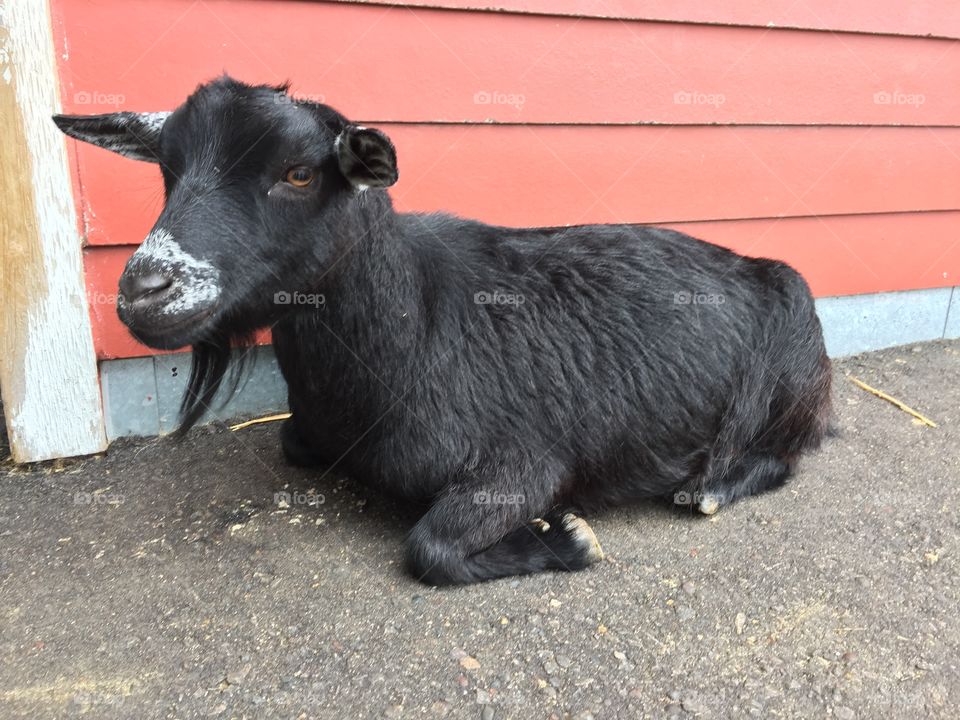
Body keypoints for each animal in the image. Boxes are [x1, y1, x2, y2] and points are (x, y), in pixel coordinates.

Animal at [54, 77, 832, 584]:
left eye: (299, 173)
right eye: (168, 170)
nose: (144, 291)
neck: (415, 324)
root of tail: (753, 263)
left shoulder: (525, 463)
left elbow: (428, 548)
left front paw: (568, 537)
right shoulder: (310, 430)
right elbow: (292, 443)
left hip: (789, 378)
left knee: (788, 453)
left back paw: (709, 487)